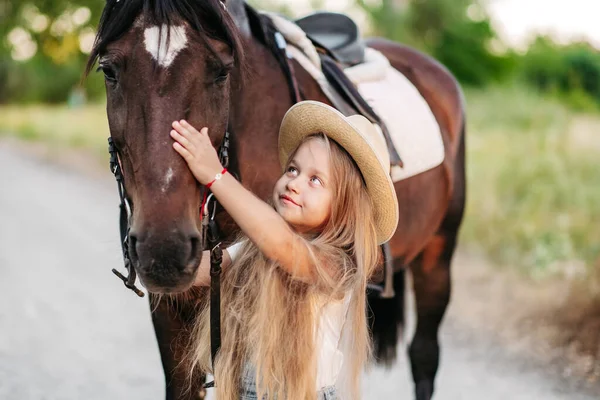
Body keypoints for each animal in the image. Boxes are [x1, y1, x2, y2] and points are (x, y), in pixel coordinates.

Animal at [86, 1, 466, 398]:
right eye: (109, 71)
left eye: (221, 72)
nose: (164, 250)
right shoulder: (172, 309)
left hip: (438, 256)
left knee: (424, 354)